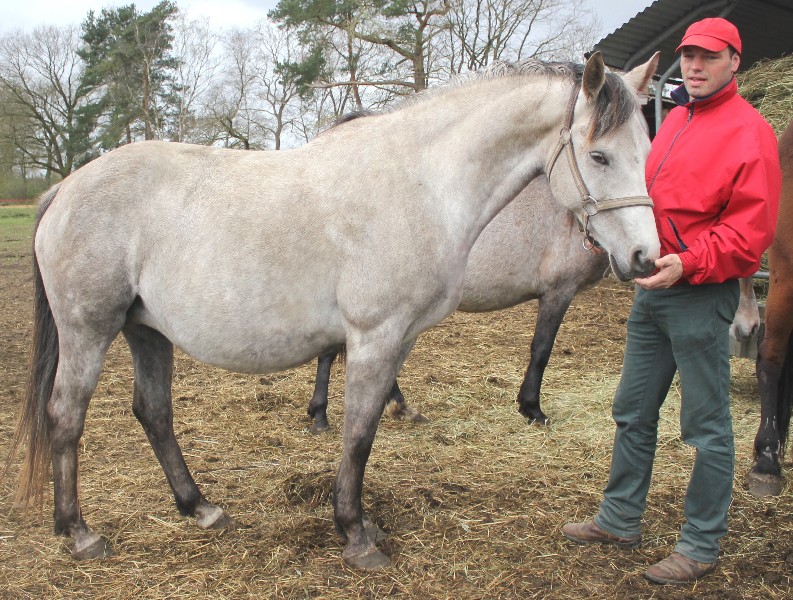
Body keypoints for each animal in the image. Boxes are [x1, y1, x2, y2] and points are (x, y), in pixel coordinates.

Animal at [7, 51, 661, 570]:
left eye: (646, 150)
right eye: (599, 156)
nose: (645, 257)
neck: (419, 184)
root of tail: (65, 189)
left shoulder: (399, 338)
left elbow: (365, 426)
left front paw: (362, 524)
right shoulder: (375, 336)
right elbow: (359, 434)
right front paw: (356, 535)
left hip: (146, 330)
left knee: (154, 413)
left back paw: (200, 508)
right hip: (89, 329)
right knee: (66, 416)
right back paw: (80, 533)